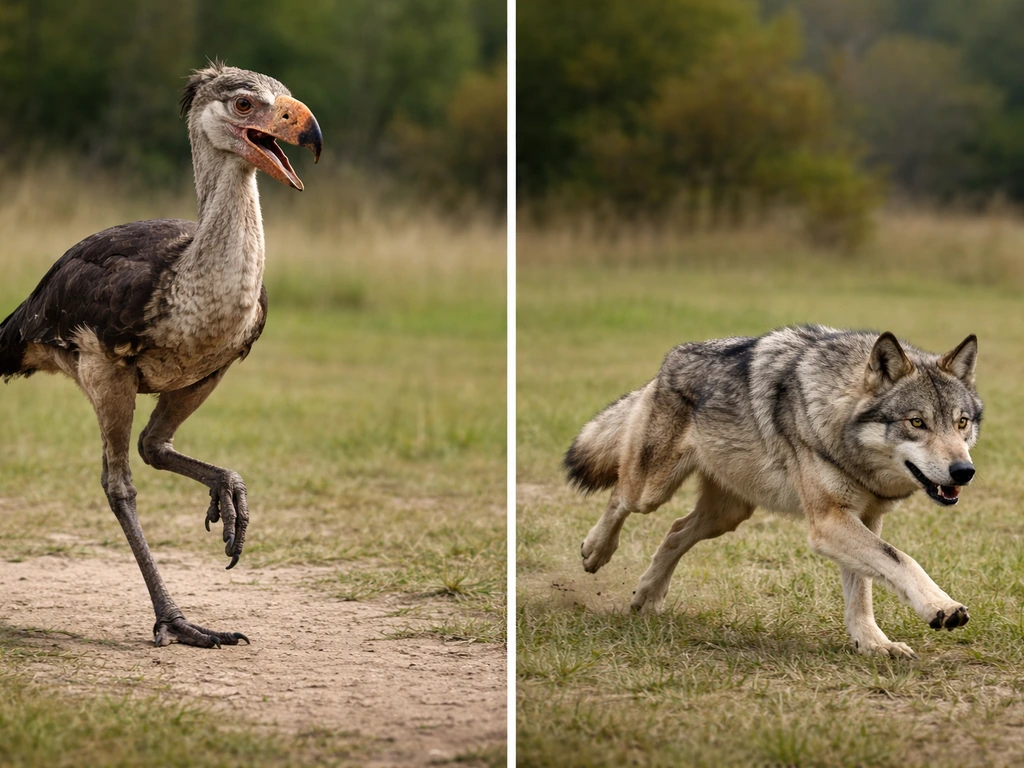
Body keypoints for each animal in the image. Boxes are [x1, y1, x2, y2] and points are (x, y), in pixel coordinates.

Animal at [565, 325, 981, 658]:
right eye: (917, 422)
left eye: (961, 423)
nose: (964, 472)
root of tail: (667, 363)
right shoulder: (829, 522)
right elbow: (903, 560)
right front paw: (940, 606)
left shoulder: (864, 518)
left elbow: (864, 588)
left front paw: (873, 644)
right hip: (652, 492)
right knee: (620, 496)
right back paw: (596, 551)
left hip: (727, 515)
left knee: (675, 531)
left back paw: (648, 596)